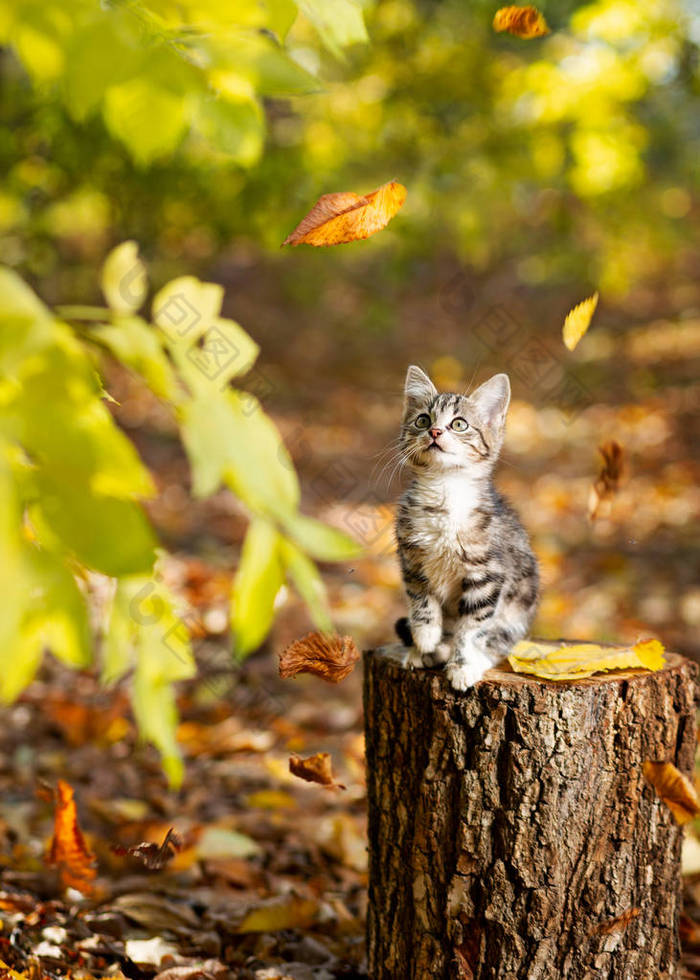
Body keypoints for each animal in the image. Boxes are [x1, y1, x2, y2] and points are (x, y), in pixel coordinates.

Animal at [396, 364, 540, 692]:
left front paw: (462, 665)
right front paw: (425, 638)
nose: (435, 432)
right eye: (423, 420)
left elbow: (471, 628)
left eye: (459, 424)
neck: (444, 492)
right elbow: (421, 601)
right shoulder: (411, 561)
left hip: (519, 605)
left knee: (499, 642)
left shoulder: (488, 576)